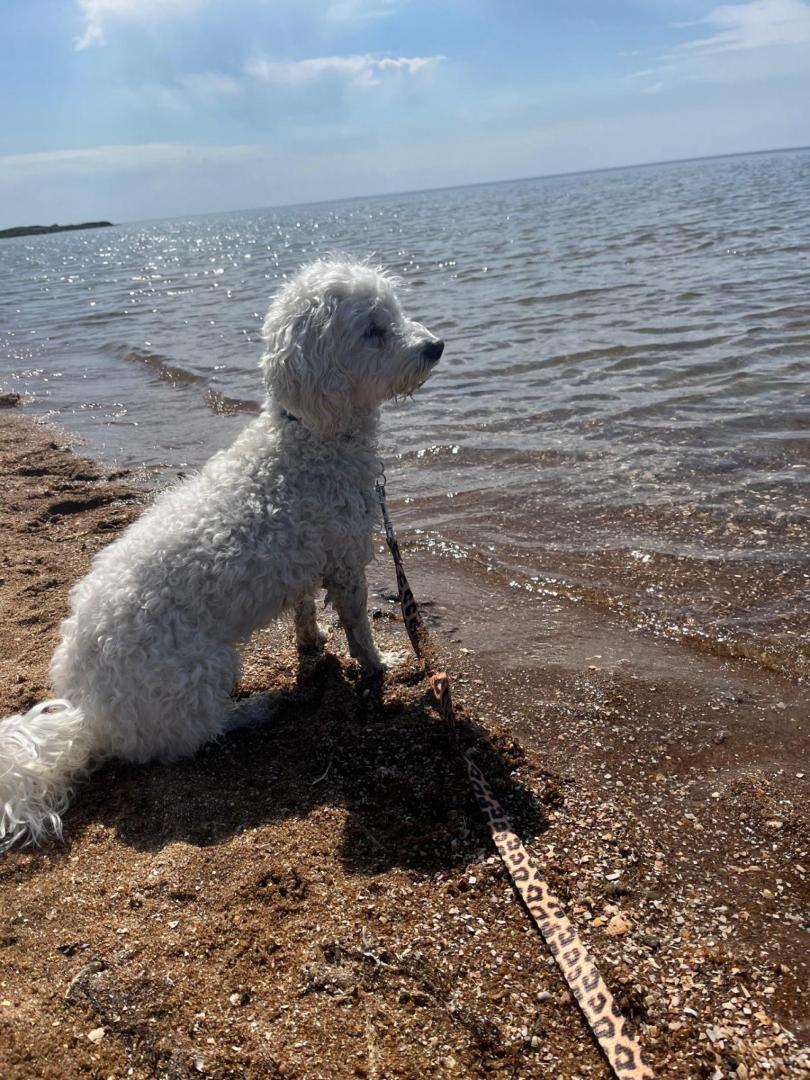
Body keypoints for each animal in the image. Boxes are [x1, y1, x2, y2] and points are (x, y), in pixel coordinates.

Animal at [0, 254, 444, 851]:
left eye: (394, 312)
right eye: (373, 329)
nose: (435, 346)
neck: (309, 434)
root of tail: (88, 712)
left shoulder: (305, 560)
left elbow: (304, 612)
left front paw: (313, 644)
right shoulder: (346, 560)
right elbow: (358, 627)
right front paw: (378, 665)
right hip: (204, 668)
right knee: (188, 738)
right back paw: (250, 711)